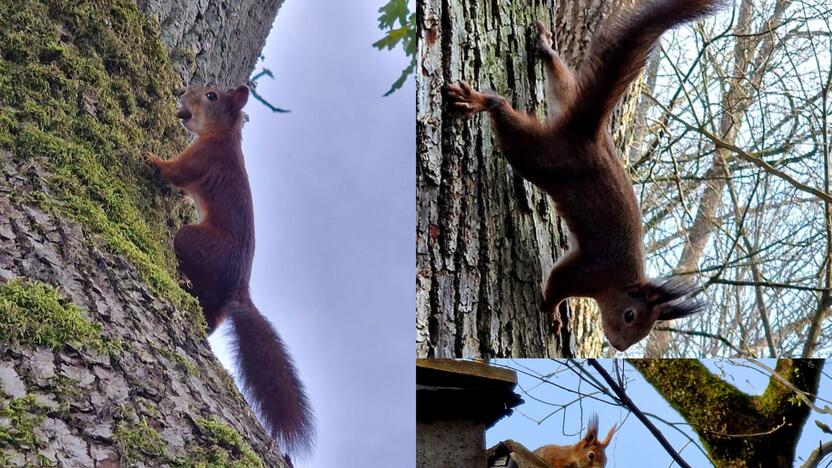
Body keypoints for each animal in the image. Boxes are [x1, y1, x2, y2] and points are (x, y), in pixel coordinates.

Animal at [146, 85, 316, 458]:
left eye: (211, 95)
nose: (182, 90)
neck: (223, 136)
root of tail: (239, 290)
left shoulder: (201, 159)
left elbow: (174, 173)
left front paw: (152, 158)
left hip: (195, 241)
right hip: (216, 305)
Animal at [446, 0, 720, 352]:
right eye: (630, 316)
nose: (620, 347)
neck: (617, 282)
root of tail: (588, 134)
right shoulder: (586, 273)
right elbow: (556, 285)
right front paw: (553, 313)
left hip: (559, 115)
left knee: (564, 84)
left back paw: (546, 49)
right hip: (543, 158)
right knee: (504, 110)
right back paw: (481, 100)